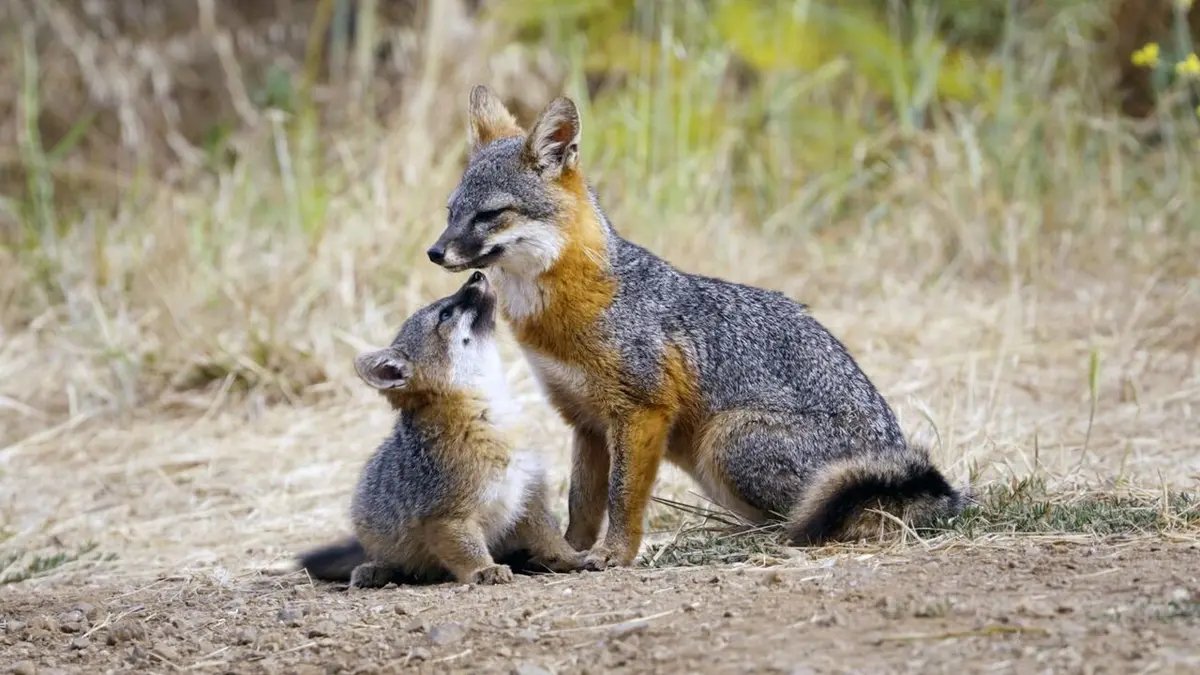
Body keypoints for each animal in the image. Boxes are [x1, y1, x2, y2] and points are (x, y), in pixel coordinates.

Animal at [297, 272, 584, 587]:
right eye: (445, 314)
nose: (476, 274)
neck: (492, 418)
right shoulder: (446, 517)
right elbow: (467, 550)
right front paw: (484, 570)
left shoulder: (529, 496)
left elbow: (550, 538)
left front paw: (571, 558)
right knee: (388, 561)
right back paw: (374, 570)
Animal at [422, 85, 966, 571]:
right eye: (450, 212)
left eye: (490, 215)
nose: (434, 252)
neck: (570, 308)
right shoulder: (587, 421)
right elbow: (582, 503)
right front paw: (567, 554)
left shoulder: (641, 411)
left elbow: (622, 497)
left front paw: (615, 555)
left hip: (724, 442)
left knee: (821, 518)